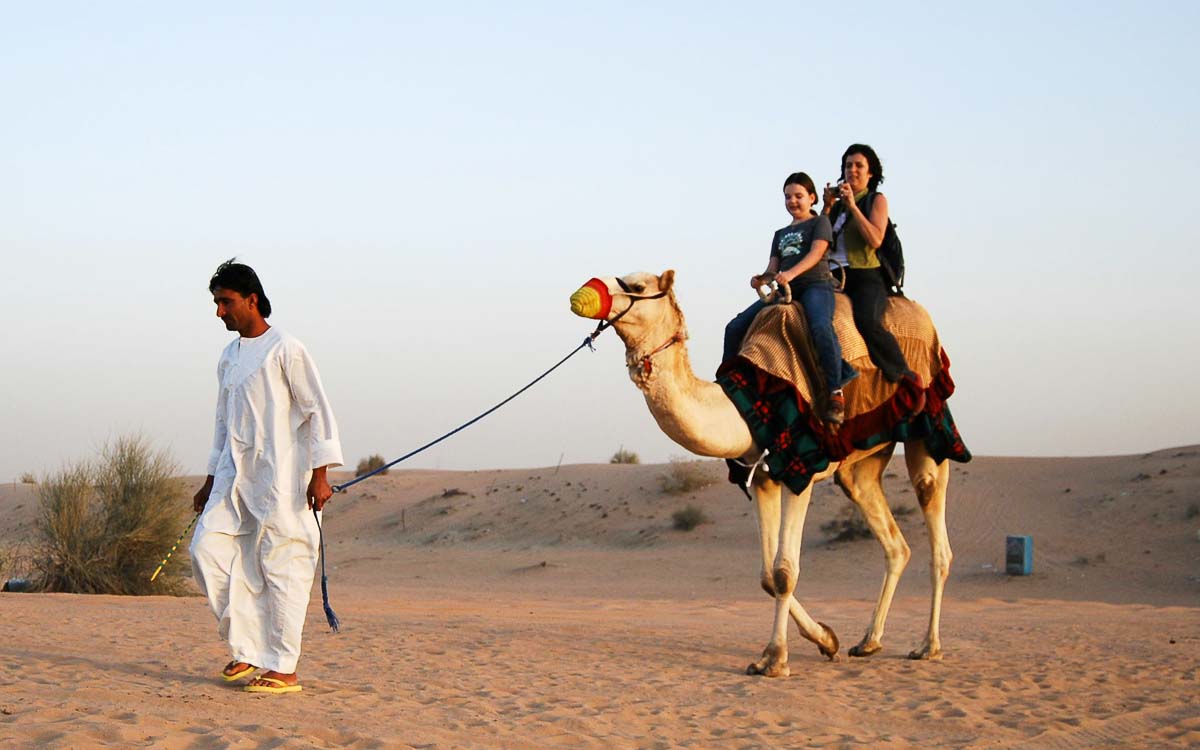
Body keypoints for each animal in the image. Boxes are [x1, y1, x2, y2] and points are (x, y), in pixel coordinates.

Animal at [570, 270, 960, 677]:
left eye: (637, 287)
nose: (583, 294)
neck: (746, 403)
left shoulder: (801, 469)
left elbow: (785, 571)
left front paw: (774, 659)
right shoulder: (761, 477)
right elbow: (768, 577)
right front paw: (827, 639)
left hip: (929, 427)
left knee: (937, 533)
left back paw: (928, 646)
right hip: (862, 464)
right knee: (893, 541)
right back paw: (868, 641)